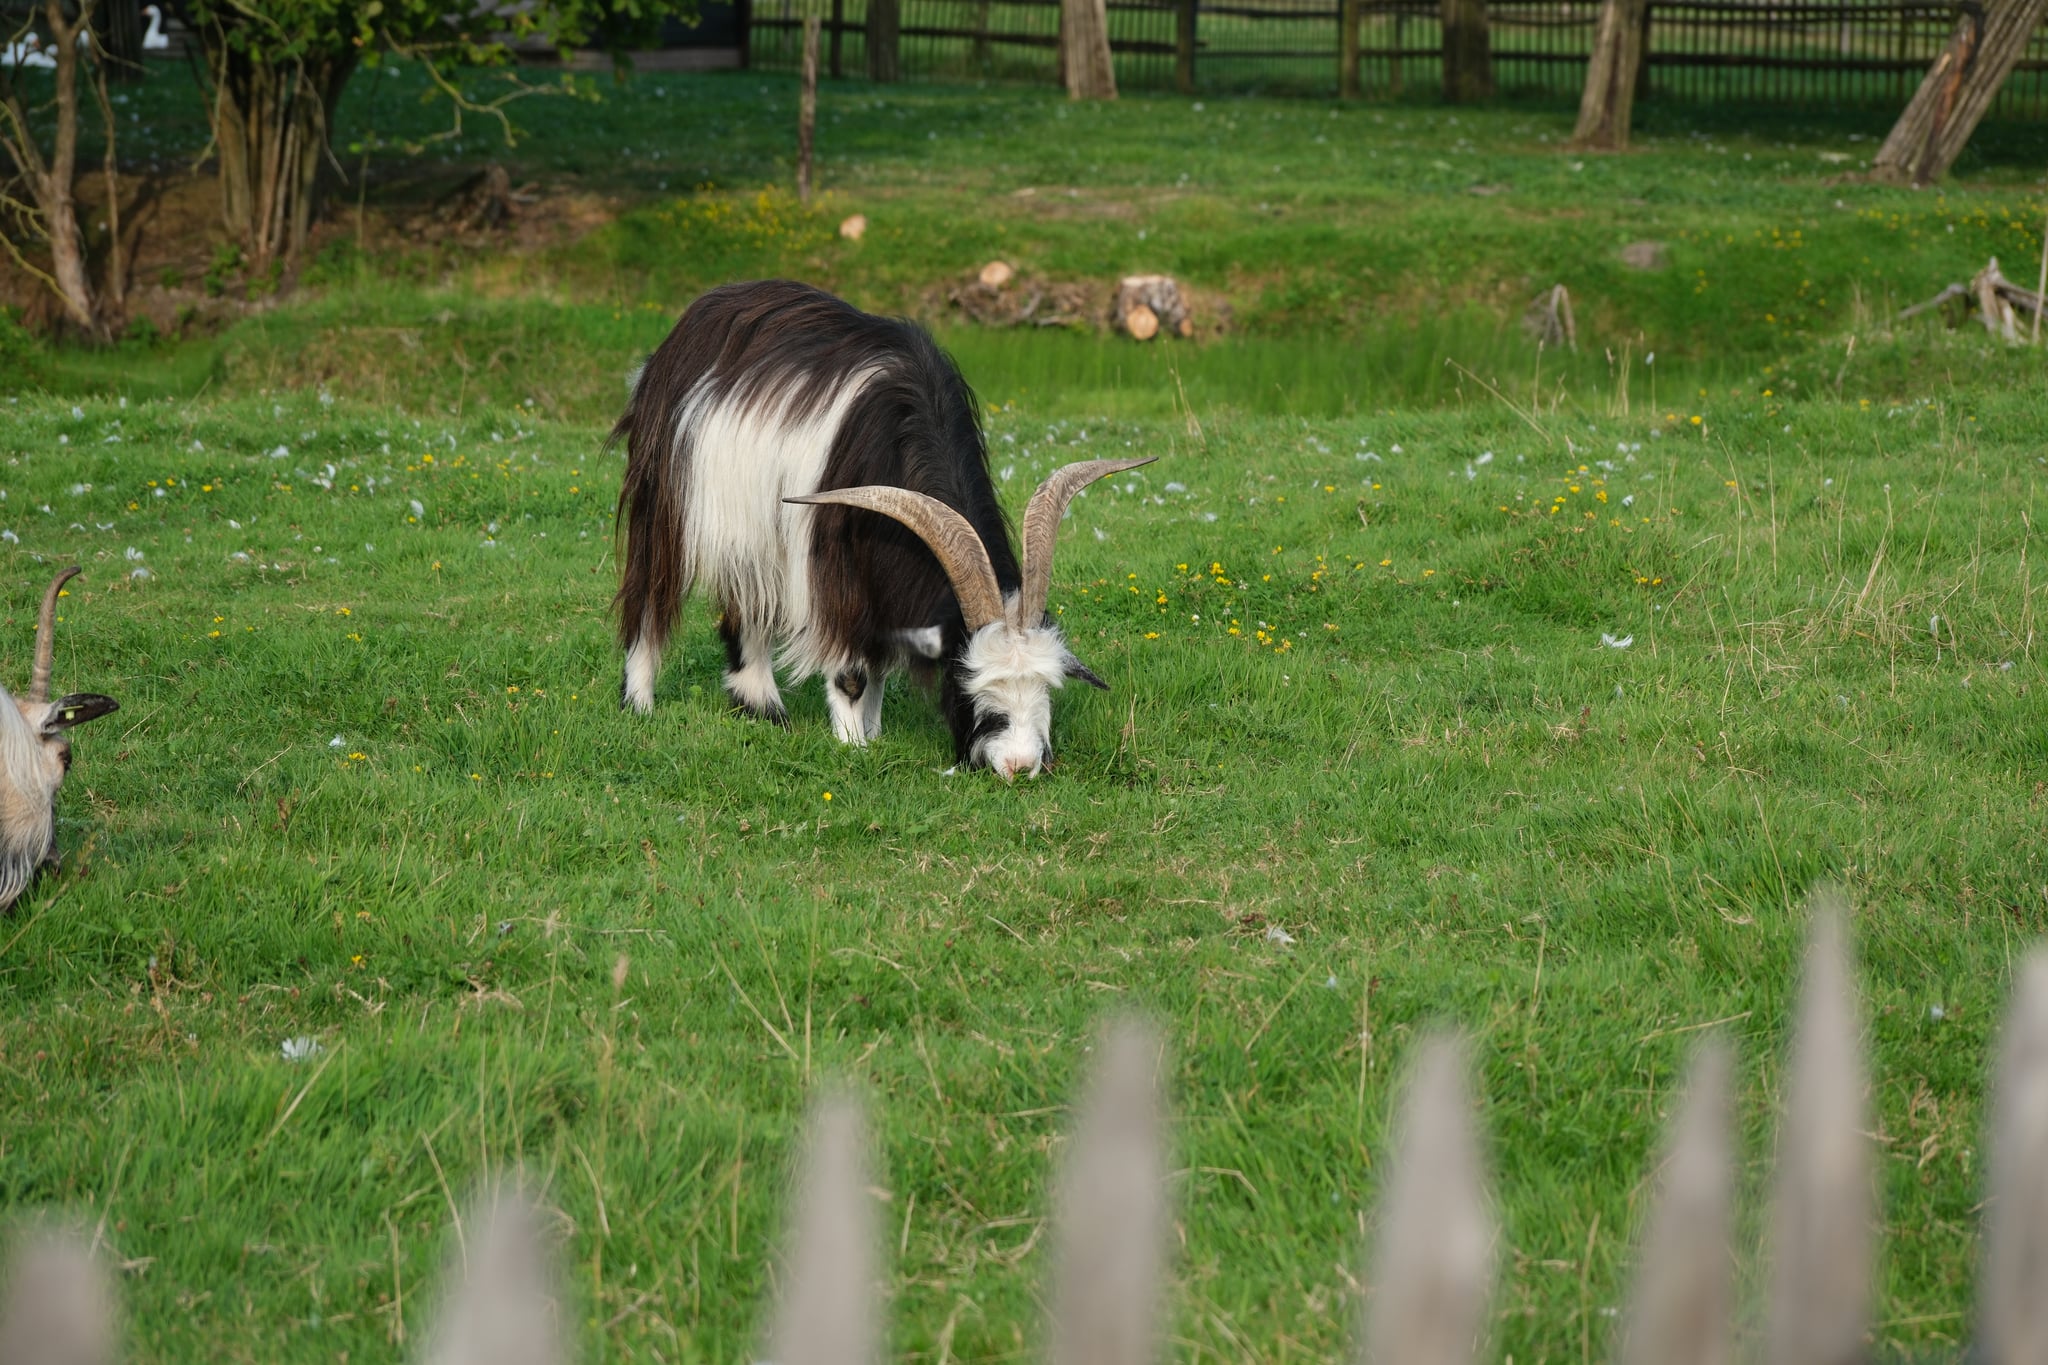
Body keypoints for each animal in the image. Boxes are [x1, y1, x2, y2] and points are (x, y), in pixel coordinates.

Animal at [612, 280, 1150, 779]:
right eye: (966, 682)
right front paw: (853, 747)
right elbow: (852, 669)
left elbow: (879, 657)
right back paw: (639, 701)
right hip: (665, 499)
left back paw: (760, 706)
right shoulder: (836, 560)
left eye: (1046, 687)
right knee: (649, 594)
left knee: (747, 601)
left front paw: (871, 731)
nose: (1018, 765)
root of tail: (702, 311)